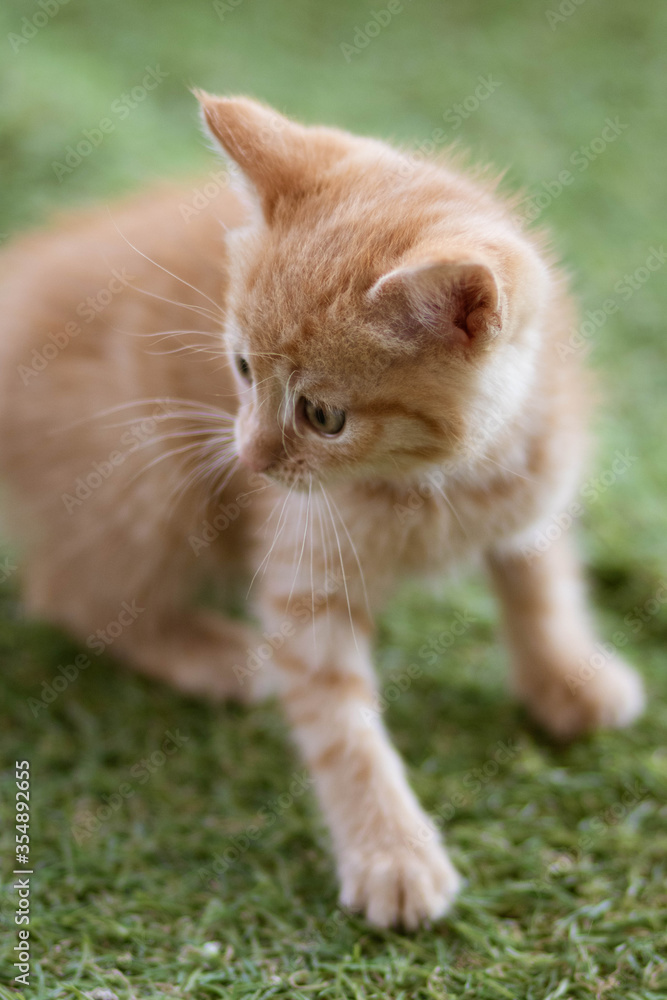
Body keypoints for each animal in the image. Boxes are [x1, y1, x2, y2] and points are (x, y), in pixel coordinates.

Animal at [1, 94, 648, 928]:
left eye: (323, 417)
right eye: (241, 369)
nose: (249, 462)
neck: (434, 484)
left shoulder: (533, 484)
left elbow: (540, 584)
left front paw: (568, 678)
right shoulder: (300, 571)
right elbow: (343, 728)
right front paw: (391, 854)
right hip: (145, 470)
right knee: (71, 591)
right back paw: (220, 656)